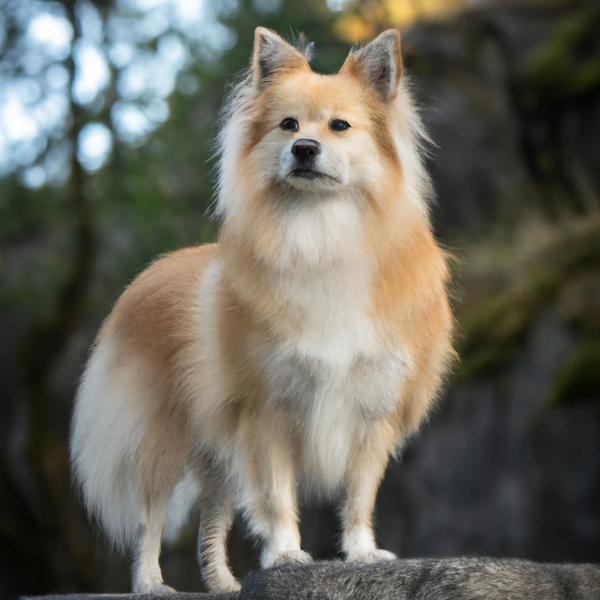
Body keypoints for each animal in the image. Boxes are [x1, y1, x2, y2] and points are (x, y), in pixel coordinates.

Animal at [69, 25, 454, 592]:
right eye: (287, 125)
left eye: (340, 126)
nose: (304, 148)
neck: (320, 231)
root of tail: (141, 281)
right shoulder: (266, 413)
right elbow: (276, 495)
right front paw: (287, 554)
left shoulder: (371, 413)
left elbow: (360, 495)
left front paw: (363, 553)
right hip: (161, 439)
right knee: (149, 517)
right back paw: (150, 583)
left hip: (217, 455)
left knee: (210, 521)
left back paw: (224, 585)